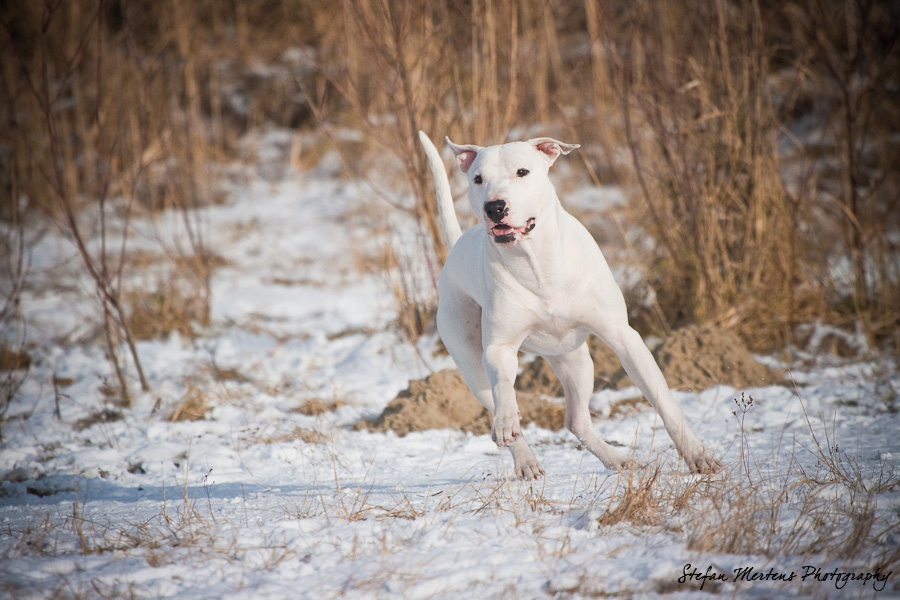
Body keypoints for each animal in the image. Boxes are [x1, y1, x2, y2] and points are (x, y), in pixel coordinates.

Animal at [418, 131, 720, 478]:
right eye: (478, 179)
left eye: (522, 172)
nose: (494, 206)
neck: (536, 263)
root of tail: (456, 248)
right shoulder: (498, 348)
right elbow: (504, 388)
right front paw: (508, 421)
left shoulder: (623, 337)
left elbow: (665, 403)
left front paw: (697, 455)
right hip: (471, 364)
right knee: (498, 402)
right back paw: (525, 460)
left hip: (576, 361)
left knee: (577, 420)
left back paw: (616, 460)